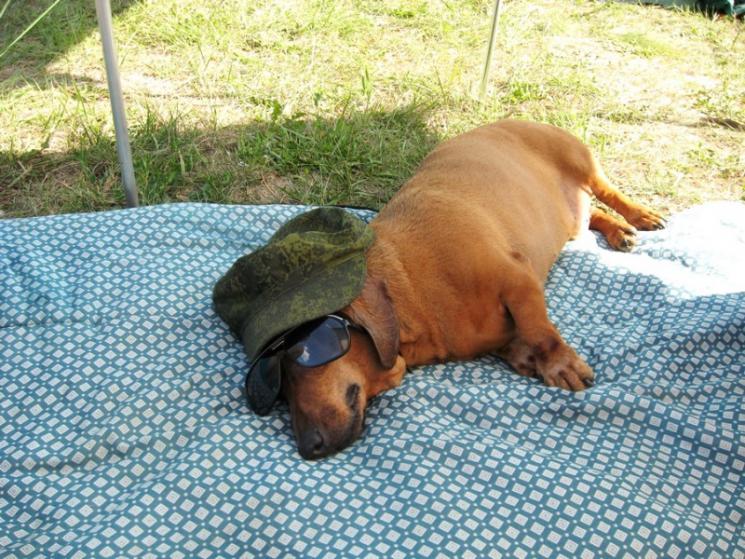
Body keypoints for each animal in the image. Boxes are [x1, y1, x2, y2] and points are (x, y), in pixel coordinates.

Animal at [280, 120, 665, 459]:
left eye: (301, 357)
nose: (307, 448)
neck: (412, 287)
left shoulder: (516, 278)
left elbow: (539, 329)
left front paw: (560, 364)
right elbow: (519, 340)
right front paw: (529, 358)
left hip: (580, 160)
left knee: (607, 191)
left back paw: (638, 216)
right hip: (572, 221)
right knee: (590, 215)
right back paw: (617, 230)